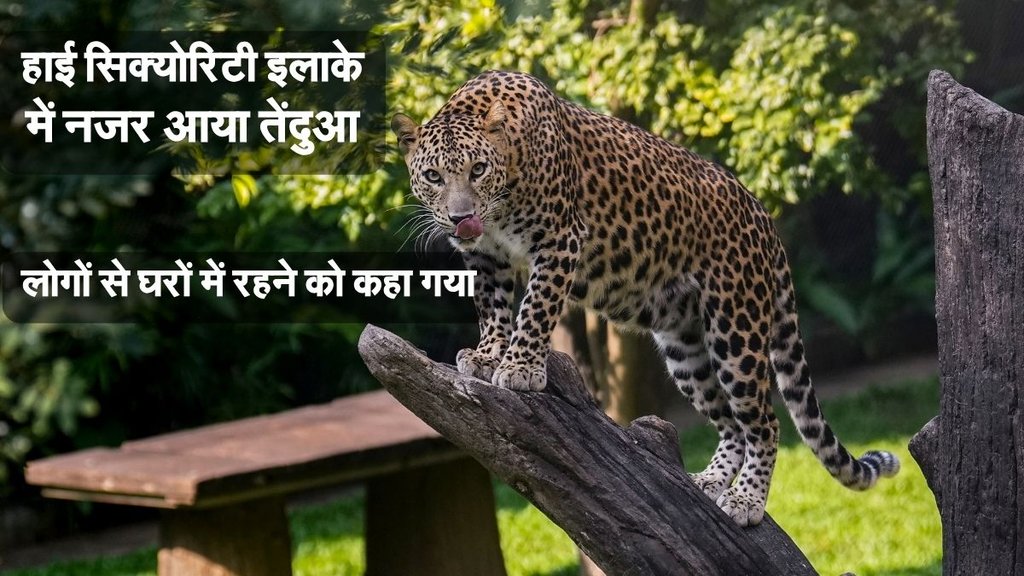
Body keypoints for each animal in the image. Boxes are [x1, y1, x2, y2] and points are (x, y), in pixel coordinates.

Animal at [392, 70, 899, 527]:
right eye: (433, 176)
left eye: (477, 170)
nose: (461, 217)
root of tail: (763, 215)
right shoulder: (486, 259)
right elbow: (492, 311)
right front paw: (487, 355)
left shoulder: (559, 242)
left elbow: (535, 308)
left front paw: (519, 369)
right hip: (684, 348)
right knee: (731, 423)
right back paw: (708, 481)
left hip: (736, 329)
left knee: (763, 422)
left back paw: (746, 502)